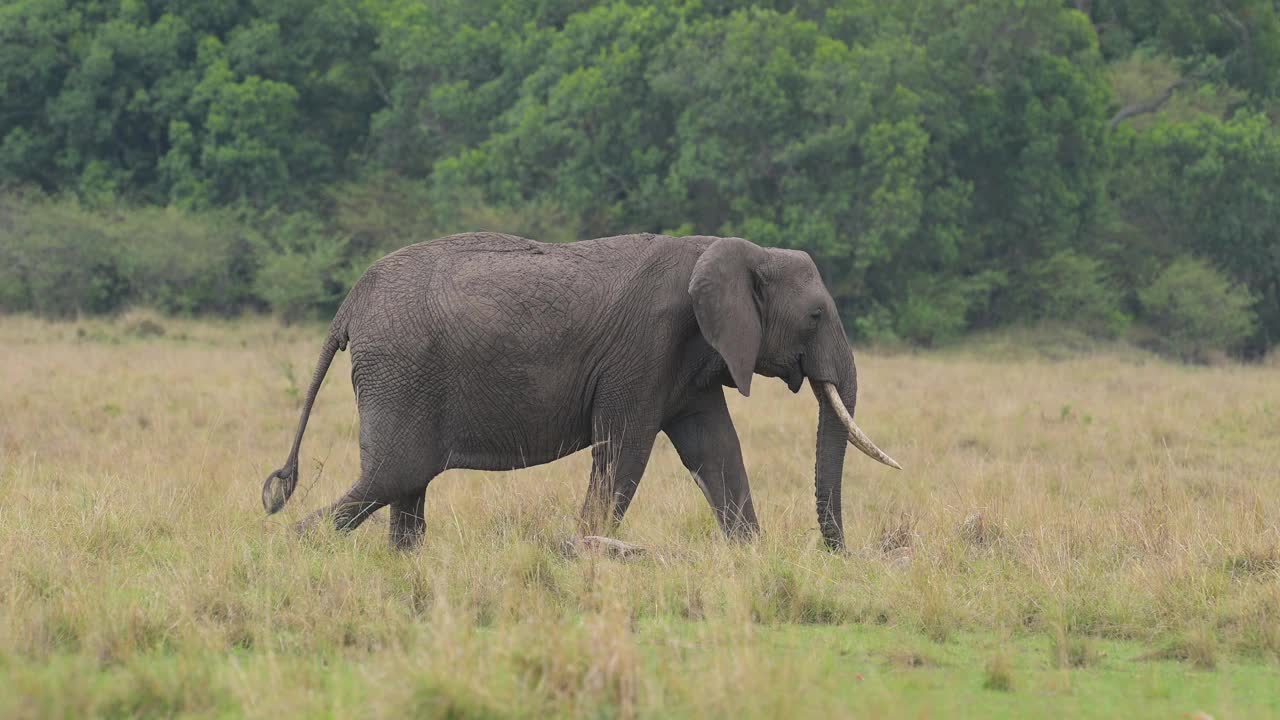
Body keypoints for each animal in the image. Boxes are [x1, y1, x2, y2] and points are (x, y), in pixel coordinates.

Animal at [262, 229, 901, 548]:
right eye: (816, 316)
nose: (837, 553)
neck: (740, 250)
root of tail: (350, 304)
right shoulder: (646, 347)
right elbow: (625, 452)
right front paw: (585, 551)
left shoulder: (689, 360)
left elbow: (716, 449)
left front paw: (749, 557)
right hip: (400, 369)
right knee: (395, 474)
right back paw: (294, 546)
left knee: (405, 483)